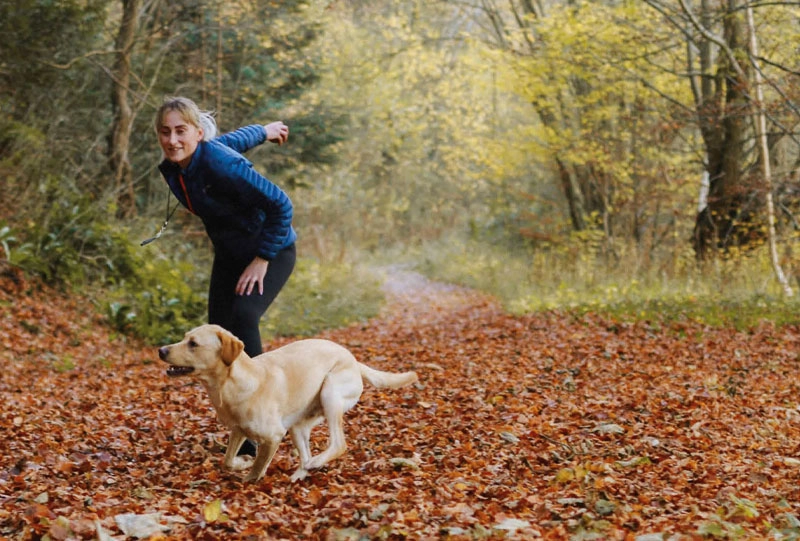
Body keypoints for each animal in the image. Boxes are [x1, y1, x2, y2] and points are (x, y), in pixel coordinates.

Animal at [158, 322, 418, 484]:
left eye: (193, 343)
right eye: (184, 338)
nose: (161, 350)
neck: (232, 384)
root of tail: (353, 359)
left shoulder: (273, 436)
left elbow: (258, 465)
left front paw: (250, 478)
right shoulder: (238, 431)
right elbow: (227, 461)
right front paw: (242, 463)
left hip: (330, 393)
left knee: (339, 444)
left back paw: (316, 462)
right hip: (298, 427)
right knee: (306, 454)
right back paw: (303, 472)